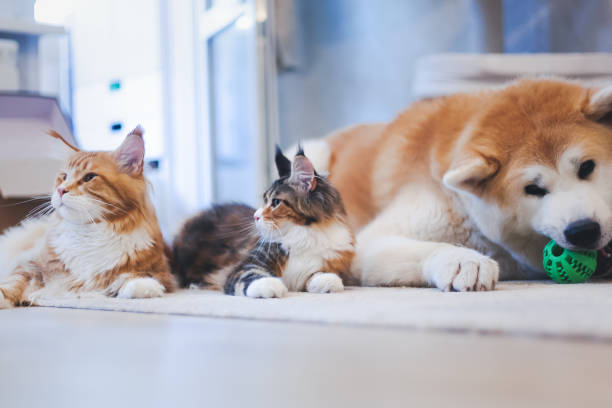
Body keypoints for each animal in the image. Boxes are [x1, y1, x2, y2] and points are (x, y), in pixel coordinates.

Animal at [0, 126, 176, 308]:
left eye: (89, 177)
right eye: (64, 177)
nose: (61, 190)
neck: (88, 231)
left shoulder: (162, 271)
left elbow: (139, 276)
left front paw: (138, 285)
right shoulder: (28, 265)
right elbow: (11, 283)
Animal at [172, 147, 354, 296]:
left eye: (276, 202)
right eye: (264, 199)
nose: (255, 216)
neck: (303, 234)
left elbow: (318, 275)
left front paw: (328, 281)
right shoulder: (247, 264)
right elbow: (251, 276)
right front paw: (271, 285)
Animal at [304, 79, 612, 290]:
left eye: (587, 167)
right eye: (533, 189)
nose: (583, 230)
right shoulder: (369, 242)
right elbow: (430, 247)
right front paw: (464, 260)